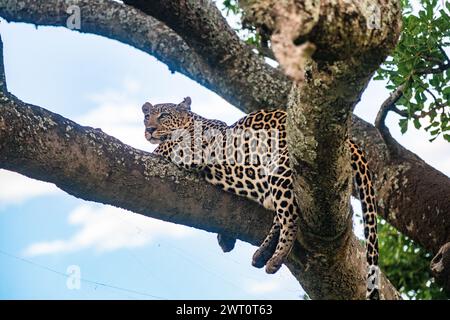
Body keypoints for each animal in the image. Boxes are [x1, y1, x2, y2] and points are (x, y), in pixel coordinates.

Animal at [142, 96, 380, 298]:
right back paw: (262, 253)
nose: (149, 129)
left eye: (164, 115)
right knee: (280, 213)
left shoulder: (192, 150)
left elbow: (165, 147)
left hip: (279, 168)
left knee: (290, 216)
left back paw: (276, 257)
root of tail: (351, 142)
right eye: (147, 116)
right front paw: (225, 238)